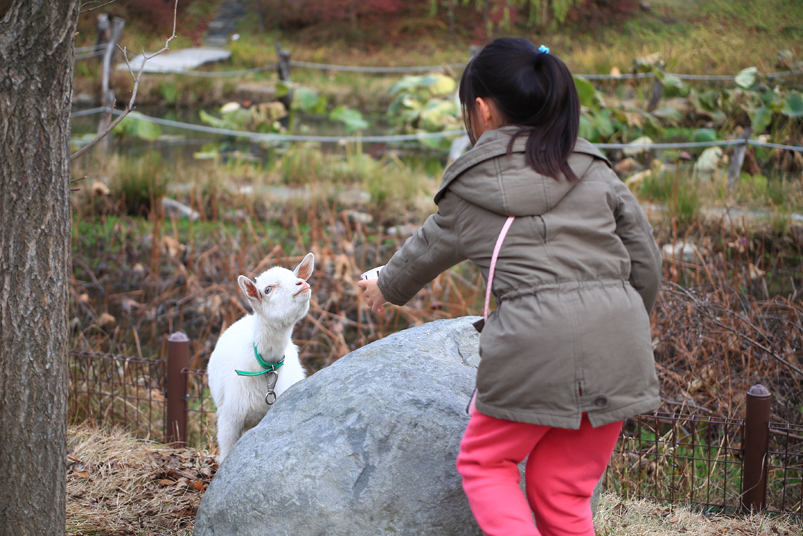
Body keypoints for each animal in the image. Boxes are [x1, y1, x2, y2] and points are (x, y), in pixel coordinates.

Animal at [207, 252, 314, 460]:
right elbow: (226, 453)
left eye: (294, 275)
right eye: (268, 289)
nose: (301, 283)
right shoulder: (229, 418)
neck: (265, 367)